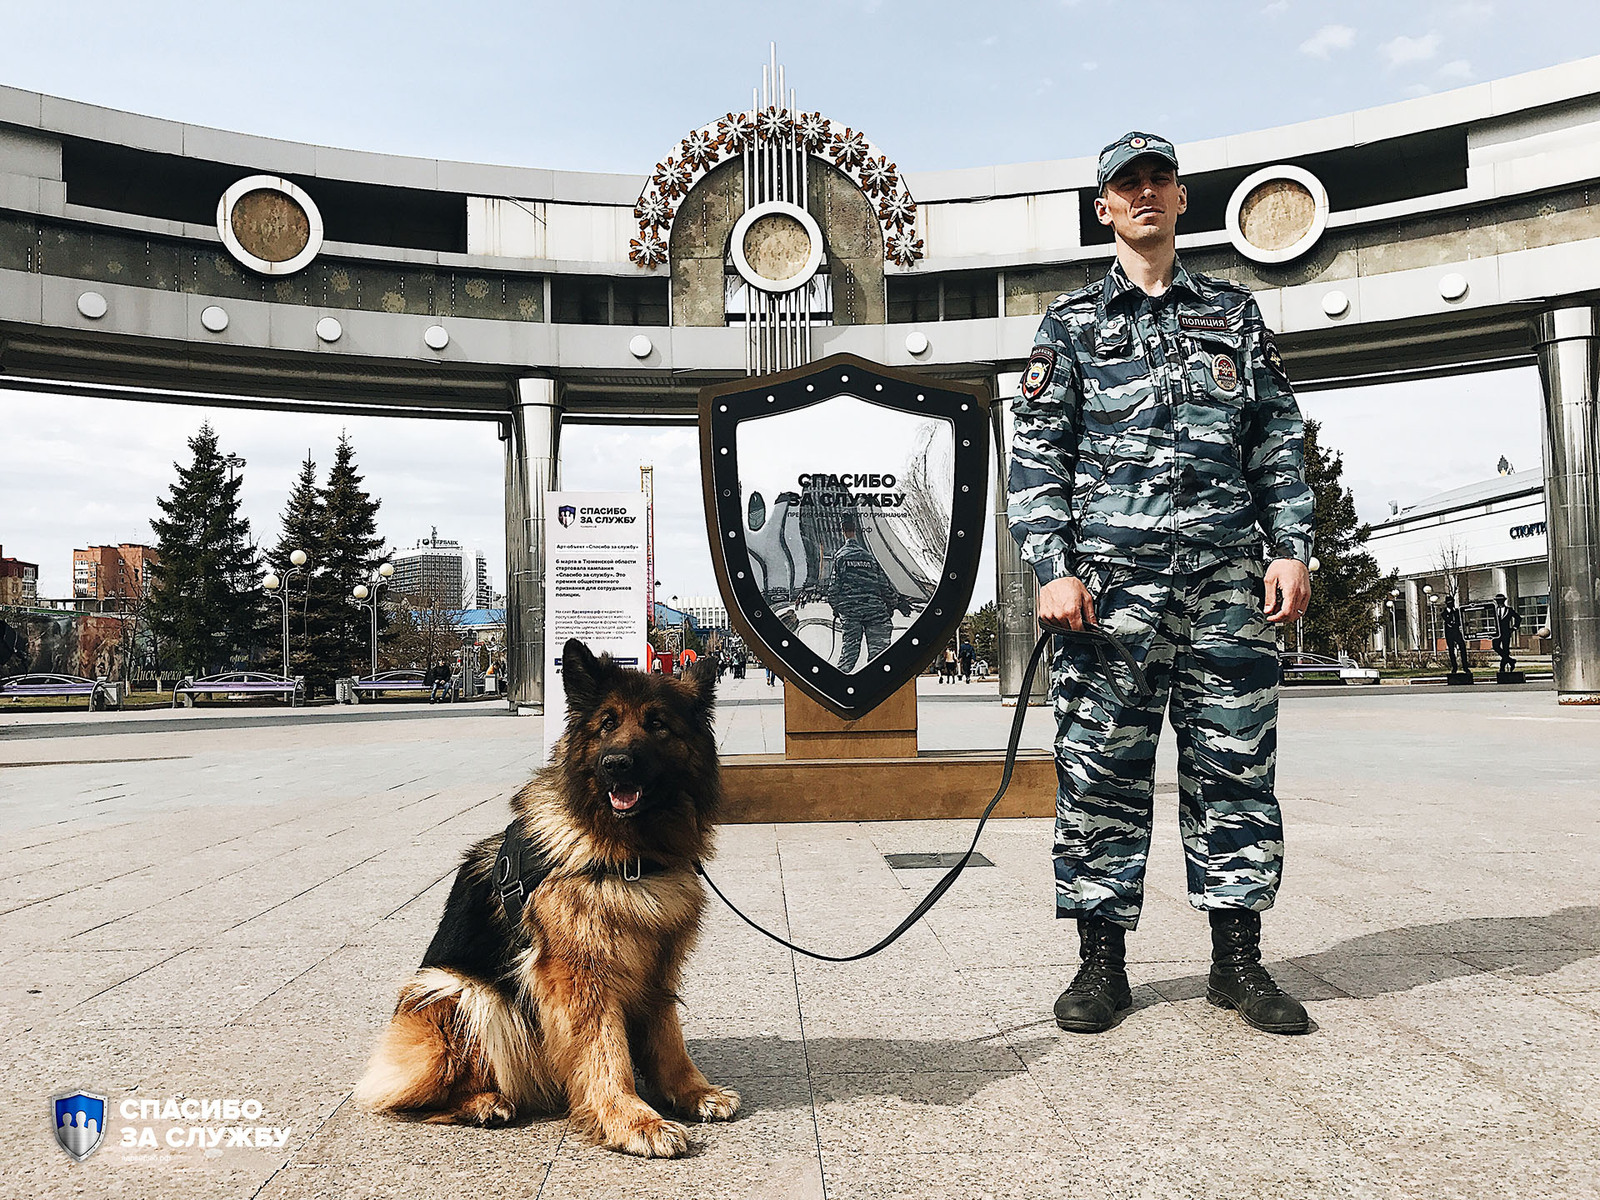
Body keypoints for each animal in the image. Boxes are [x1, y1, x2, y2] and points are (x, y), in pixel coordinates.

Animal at [356, 643, 736, 1158]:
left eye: (658, 724)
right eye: (607, 724)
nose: (617, 763)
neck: (627, 853)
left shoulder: (658, 965)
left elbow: (669, 1038)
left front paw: (693, 1092)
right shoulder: (581, 976)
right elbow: (605, 1052)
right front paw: (632, 1120)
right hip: (458, 991)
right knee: (426, 1093)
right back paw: (484, 1102)